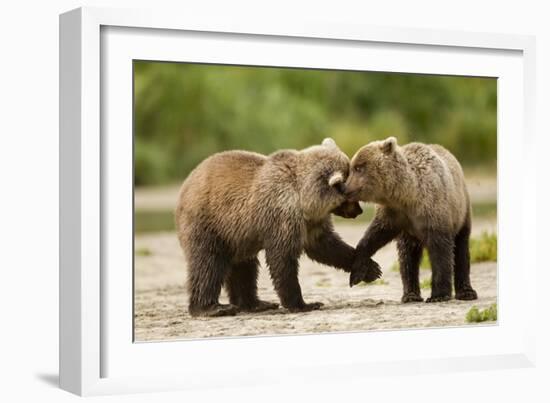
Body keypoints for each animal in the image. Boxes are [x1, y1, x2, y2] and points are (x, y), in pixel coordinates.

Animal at [175, 140, 382, 318]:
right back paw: (213, 308)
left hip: (237, 236)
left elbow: (327, 247)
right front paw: (304, 304)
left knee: (244, 267)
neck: (305, 200)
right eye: (350, 194)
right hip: (209, 223)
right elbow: (282, 258)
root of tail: (185, 185)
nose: (359, 211)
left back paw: (256, 303)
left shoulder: (312, 223)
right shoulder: (281, 215)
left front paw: (370, 268)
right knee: (208, 263)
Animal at [344, 137, 478, 304]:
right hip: (410, 235)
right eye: (352, 167)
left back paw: (467, 292)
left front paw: (438, 295)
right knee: (408, 258)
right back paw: (410, 295)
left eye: (359, 168)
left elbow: (441, 252)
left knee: (461, 249)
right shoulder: (395, 215)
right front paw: (357, 272)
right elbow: (375, 235)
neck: (408, 195)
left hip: (461, 212)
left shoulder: (433, 211)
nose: (344, 188)